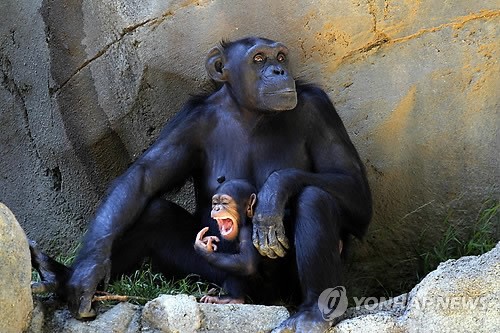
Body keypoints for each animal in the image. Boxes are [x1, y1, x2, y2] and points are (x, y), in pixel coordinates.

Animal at [61, 37, 372, 330]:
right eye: (259, 58)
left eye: (281, 57)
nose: (279, 70)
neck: (250, 112)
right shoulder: (191, 121)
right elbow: (144, 176)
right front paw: (88, 272)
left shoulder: (318, 109)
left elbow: (354, 186)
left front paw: (273, 193)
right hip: (209, 276)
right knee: (154, 212)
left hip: (286, 290)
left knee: (315, 197)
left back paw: (313, 313)